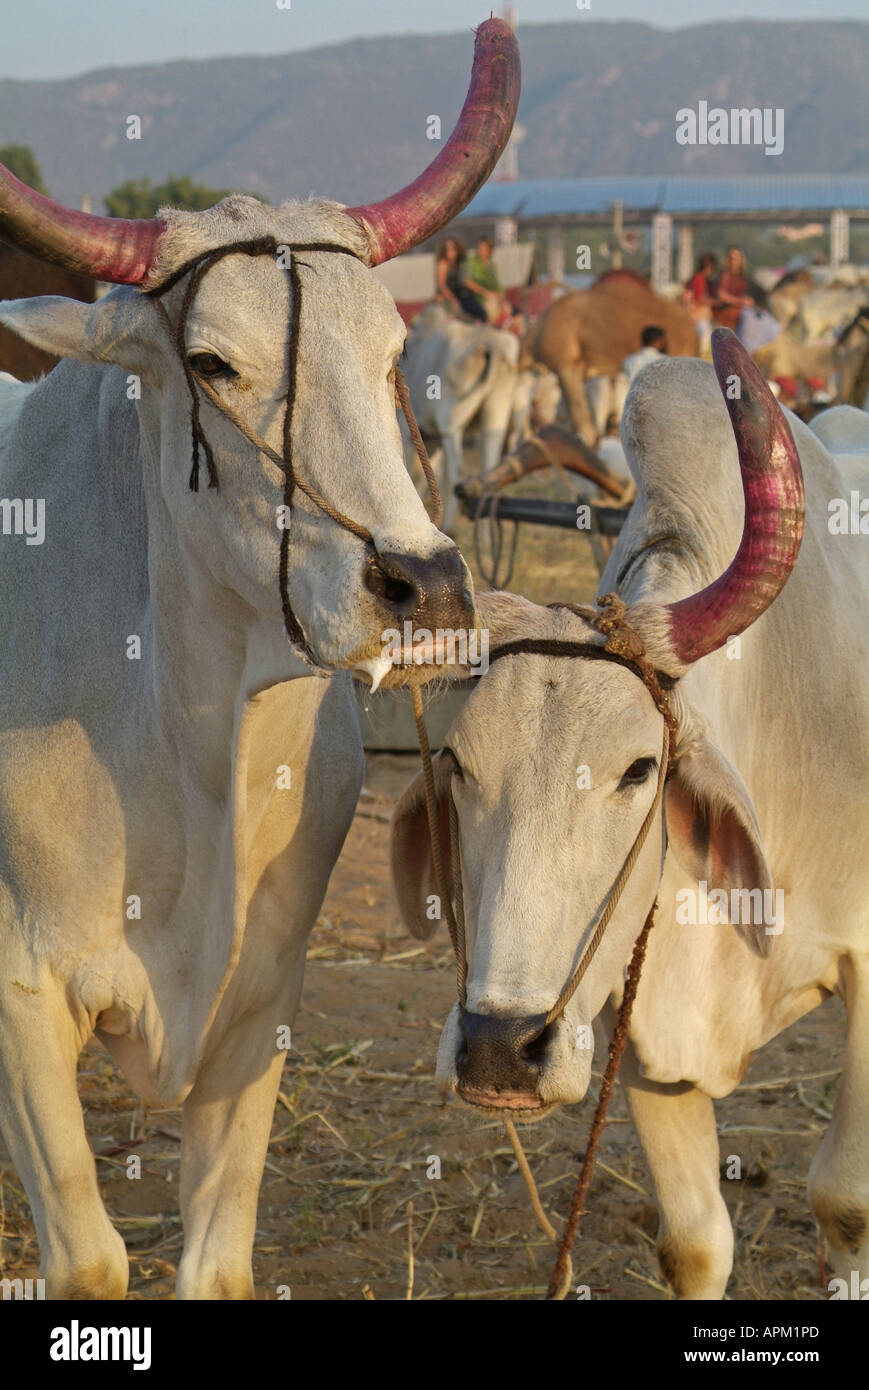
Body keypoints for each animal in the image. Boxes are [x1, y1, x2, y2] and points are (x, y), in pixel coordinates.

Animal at [0, 18, 520, 1300]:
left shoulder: (259, 1005)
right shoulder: (19, 997)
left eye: (393, 351)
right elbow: (89, 1258)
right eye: (213, 365)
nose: (425, 587)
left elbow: (217, 1260)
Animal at [391, 329, 869, 1300]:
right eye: (457, 763)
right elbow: (692, 1244)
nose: (498, 1052)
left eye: (640, 769)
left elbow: (844, 1204)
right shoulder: (635, 1016)